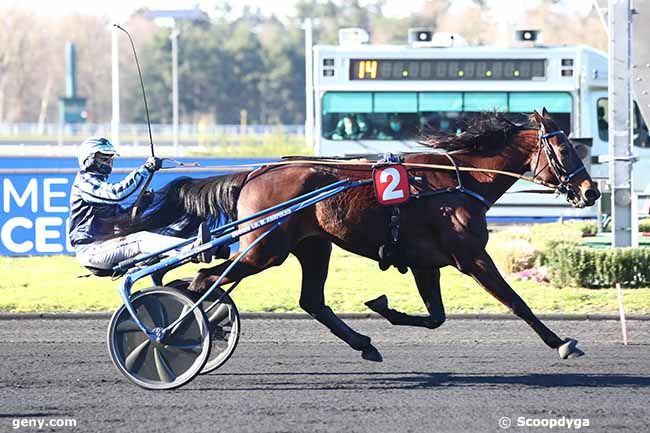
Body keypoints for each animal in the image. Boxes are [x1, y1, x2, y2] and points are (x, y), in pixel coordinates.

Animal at [157, 108, 596, 362]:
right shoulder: (471, 257)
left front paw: (383, 306)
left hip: (312, 246)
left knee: (310, 300)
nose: (591, 191)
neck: (457, 181)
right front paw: (560, 342)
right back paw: (182, 328)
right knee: (204, 280)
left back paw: (363, 344)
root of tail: (253, 173)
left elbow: (435, 317)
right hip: (265, 249)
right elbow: (515, 301)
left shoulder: (426, 263)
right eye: (565, 149)